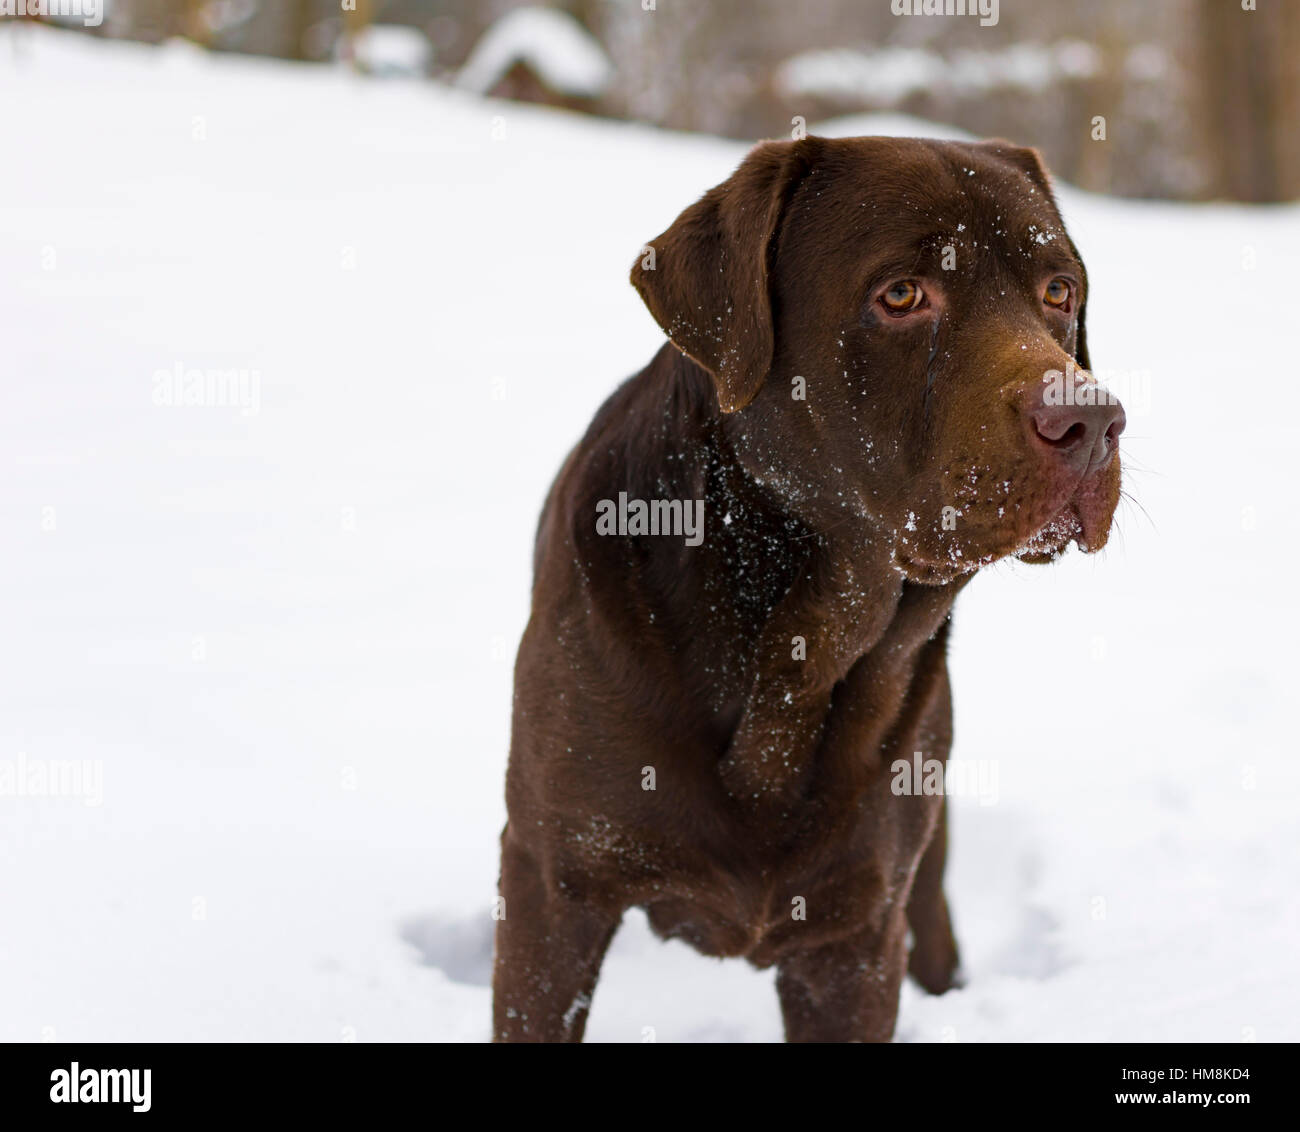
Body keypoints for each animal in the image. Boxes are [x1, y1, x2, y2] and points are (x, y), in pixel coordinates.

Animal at [491, 135, 1123, 1044]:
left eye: (1059, 291)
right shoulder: (554, 884)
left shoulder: (854, 937)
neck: (804, 646)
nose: (1092, 422)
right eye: (901, 294)